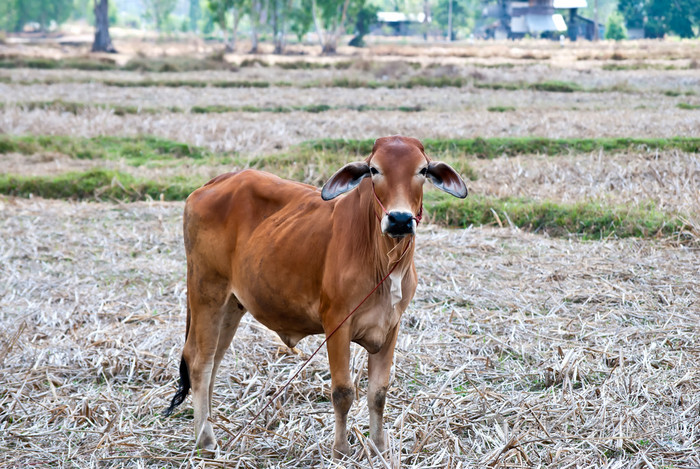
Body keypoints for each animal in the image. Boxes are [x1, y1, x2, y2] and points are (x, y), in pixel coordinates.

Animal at [166, 134, 468, 458]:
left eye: (422, 170)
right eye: (374, 169)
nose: (400, 219)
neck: (385, 259)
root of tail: (210, 184)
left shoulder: (391, 325)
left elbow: (378, 393)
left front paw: (378, 448)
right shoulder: (336, 323)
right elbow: (343, 392)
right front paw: (340, 451)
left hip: (231, 306)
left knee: (212, 364)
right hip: (206, 293)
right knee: (199, 363)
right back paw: (206, 440)